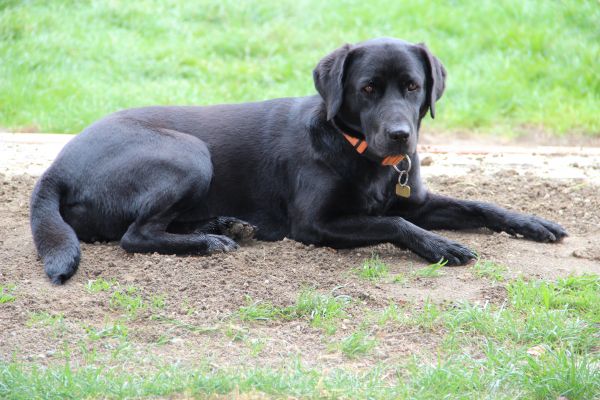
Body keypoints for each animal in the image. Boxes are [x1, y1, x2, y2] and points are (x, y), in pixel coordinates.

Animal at [30, 36, 568, 282]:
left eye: (413, 87)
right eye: (367, 88)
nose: (400, 137)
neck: (357, 152)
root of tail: (56, 168)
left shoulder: (417, 200)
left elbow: (480, 205)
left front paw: (535, 223)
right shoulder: (315, 225)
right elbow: (396, 225)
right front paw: (442, 246)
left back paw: (224, 224)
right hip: (188, 153)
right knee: (135, 236)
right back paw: (210, 241)